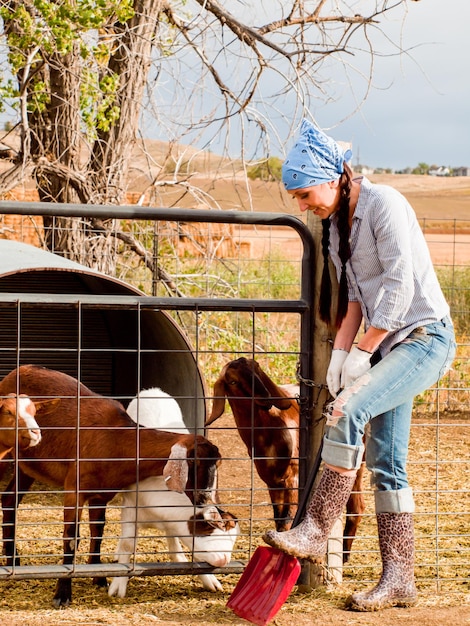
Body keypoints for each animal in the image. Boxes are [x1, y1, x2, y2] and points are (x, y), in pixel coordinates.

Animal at [0, 364, 221, 608]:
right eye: (194, 462)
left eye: (216, 464)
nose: (204, 497)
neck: (117, 439)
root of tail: (19, 369)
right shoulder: (74, 490)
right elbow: (71, 537)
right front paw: (63, 593)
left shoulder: (101, 495)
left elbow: (98, 531)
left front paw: (99, 577)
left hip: (27, 467)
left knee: (8, 500)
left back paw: (13, 558)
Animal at [205, 358, 298, 528]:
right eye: (233, 381)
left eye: (257, 371)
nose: (266, 397)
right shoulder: (272, 482)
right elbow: (279, 519)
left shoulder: (293, 477)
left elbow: (288, 520)